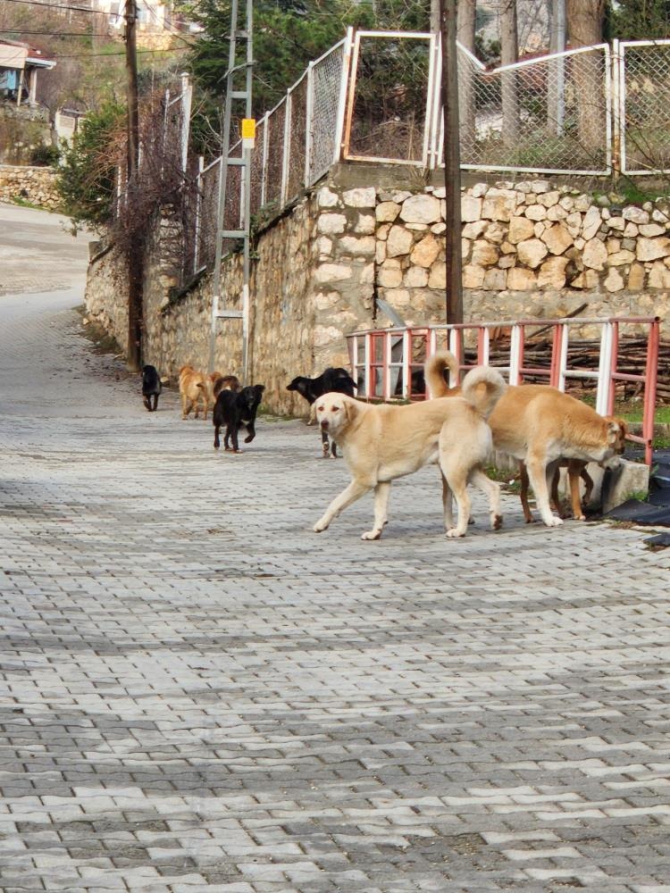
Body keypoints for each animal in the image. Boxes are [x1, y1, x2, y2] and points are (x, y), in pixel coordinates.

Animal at [312, 364, 506, 544]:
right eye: (320, 408)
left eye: (335, 408)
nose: (324, 423)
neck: (355, 422)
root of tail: (476, 410)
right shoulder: (382, 482)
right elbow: (379, 511)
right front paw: (375, 533)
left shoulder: (363, 480)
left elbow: (336, 502)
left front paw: (321, 524)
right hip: (465, 469)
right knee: (494, 488)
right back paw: (496, 520)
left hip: (452, 470)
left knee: (466, 502)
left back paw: (459, 531)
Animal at [428, 352, 628, 528]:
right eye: (620, 450)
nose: (619, 466)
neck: (565, 417)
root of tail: (448, 392)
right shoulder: (536, 463)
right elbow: (542, 495)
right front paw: (550, 519)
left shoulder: (550, 466)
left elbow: (546, 493)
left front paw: (547, 516)